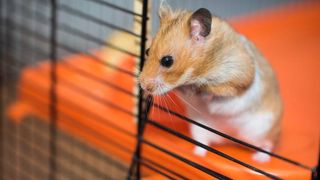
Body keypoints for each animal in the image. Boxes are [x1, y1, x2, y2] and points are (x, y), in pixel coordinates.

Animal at [139, 2, 282, 162]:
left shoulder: (239, 76)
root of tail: (228, 139)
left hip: (263, 129)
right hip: (199, 129)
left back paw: (259, 160)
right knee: (203, 144)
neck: (200, 71)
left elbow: (219, 90)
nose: (142, 84)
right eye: (147, 51)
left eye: (167, 61)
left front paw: (205, 95)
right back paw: (196, 154)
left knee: (268, 145)